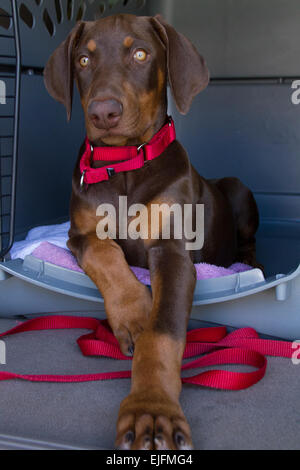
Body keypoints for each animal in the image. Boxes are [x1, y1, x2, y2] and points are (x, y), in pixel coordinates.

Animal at [43, 12, 262, 450]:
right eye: (83, 60)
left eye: (141, 54)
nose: (103, 112)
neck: (125, 163)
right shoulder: (79, 234)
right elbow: (105, 255)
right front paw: (135, 315)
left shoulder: (172, 251)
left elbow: (162, 334)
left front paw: (152, 409)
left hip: (237, 189)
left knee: (248, 240)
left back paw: (246, 263)